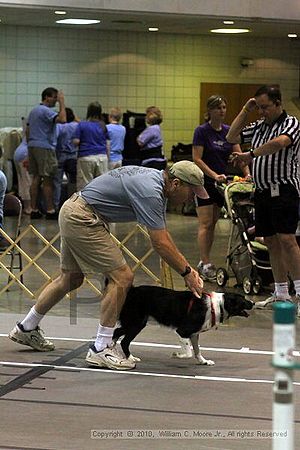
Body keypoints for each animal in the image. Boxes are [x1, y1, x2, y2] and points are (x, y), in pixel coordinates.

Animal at [112, 286, 253, 368]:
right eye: (243, 300)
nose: (253, 302)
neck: (217, 306)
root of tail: (132, 290)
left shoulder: (194, 334)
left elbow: (197, 350)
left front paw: (203, 361)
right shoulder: (183, 331)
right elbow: (189, 352)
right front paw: (177, 355)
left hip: (135, 323)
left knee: (116, 332)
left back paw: (111, 348)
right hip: (135, 323)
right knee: (124, 341)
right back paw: (130, 358)